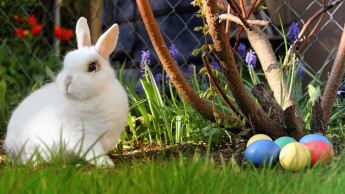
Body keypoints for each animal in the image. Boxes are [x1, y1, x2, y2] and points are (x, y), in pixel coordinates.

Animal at [3, 17, 129, 167]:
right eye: (65, 63)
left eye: (92, 66)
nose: (67, 82)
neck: (95, 97)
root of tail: (8, 145)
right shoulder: (82, 136)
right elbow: (93, 152)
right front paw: (105, 163)